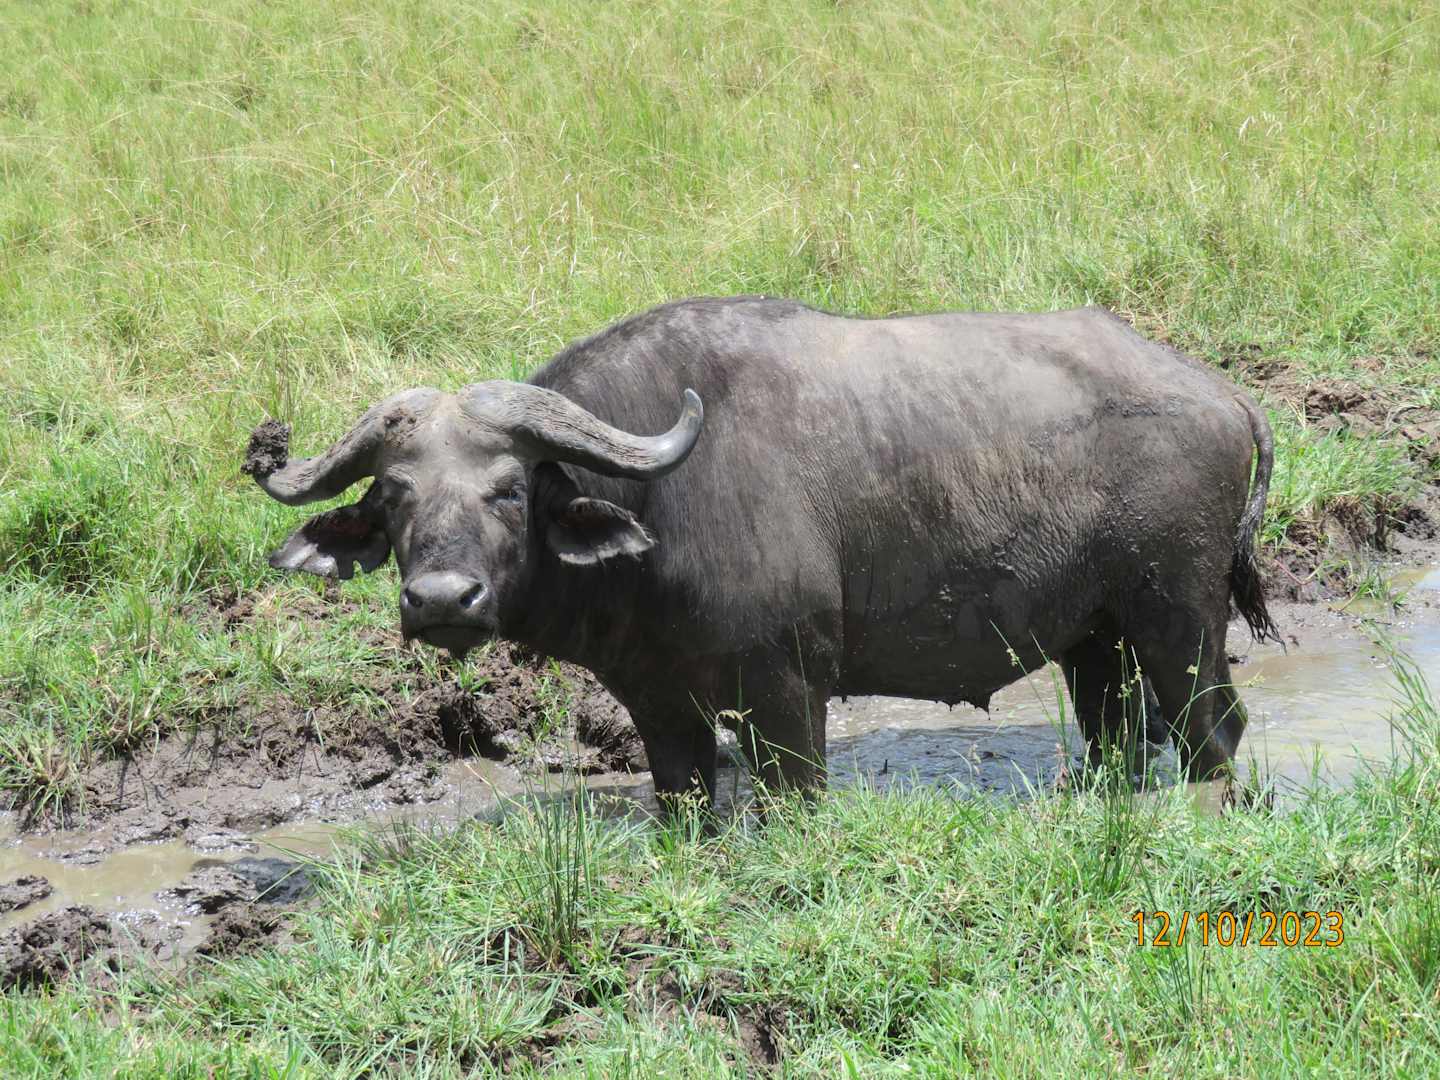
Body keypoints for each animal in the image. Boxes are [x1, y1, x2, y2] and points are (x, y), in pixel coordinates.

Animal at [245, 297, 1278, 802]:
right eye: (394, 496)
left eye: (508, 488)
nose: (441, 600)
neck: (661, 507)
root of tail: (1222, 394)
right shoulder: (659, 707)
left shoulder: (788, 697)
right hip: (1095, 640)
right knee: (1118, 739)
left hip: (1178, 621)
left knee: (1214, 733)